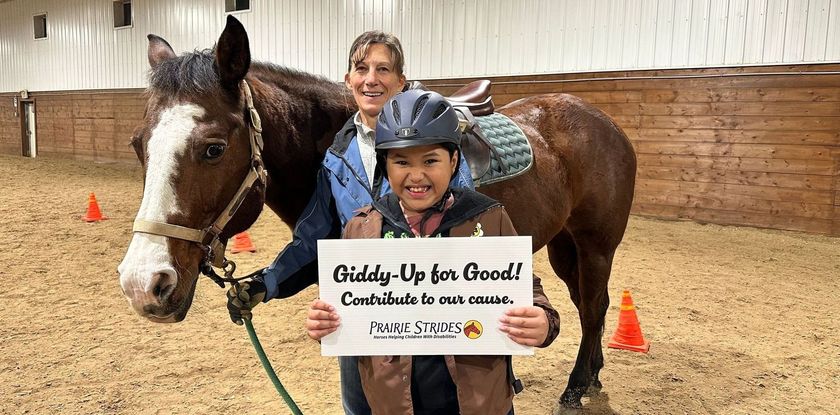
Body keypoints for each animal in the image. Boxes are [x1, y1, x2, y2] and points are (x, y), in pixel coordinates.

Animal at [118, 17, 636, 410]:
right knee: (591, 305)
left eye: (213, 148)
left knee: (593, 308)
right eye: (138, 144)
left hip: (596, 244)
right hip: (565, 246)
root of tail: (600, 119)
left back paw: (576, 387)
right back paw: (593, 375)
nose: (142, 285)